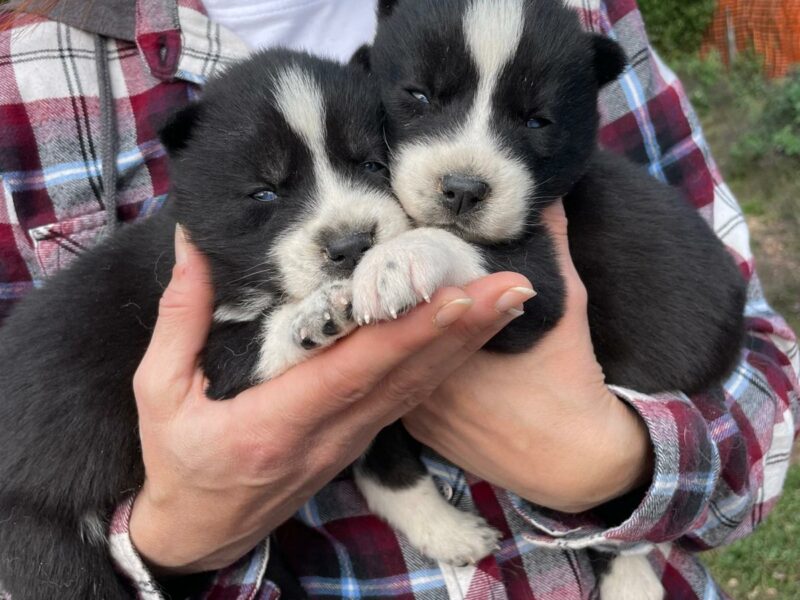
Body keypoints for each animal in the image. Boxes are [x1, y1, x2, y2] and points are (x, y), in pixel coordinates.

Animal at [0, 50, 406, 600]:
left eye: (371, 163)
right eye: (263, 193)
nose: (351, 244)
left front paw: (447, 527)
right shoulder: (196, 348)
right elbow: (250, 342)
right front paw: (313, 316)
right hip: (41, 539)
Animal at [350, 0, 752, 592]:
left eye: (537, 121)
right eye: (419, 95)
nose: (463, 190)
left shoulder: (537, 287)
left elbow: (462, 246)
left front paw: (396, 259)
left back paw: (629, 579)